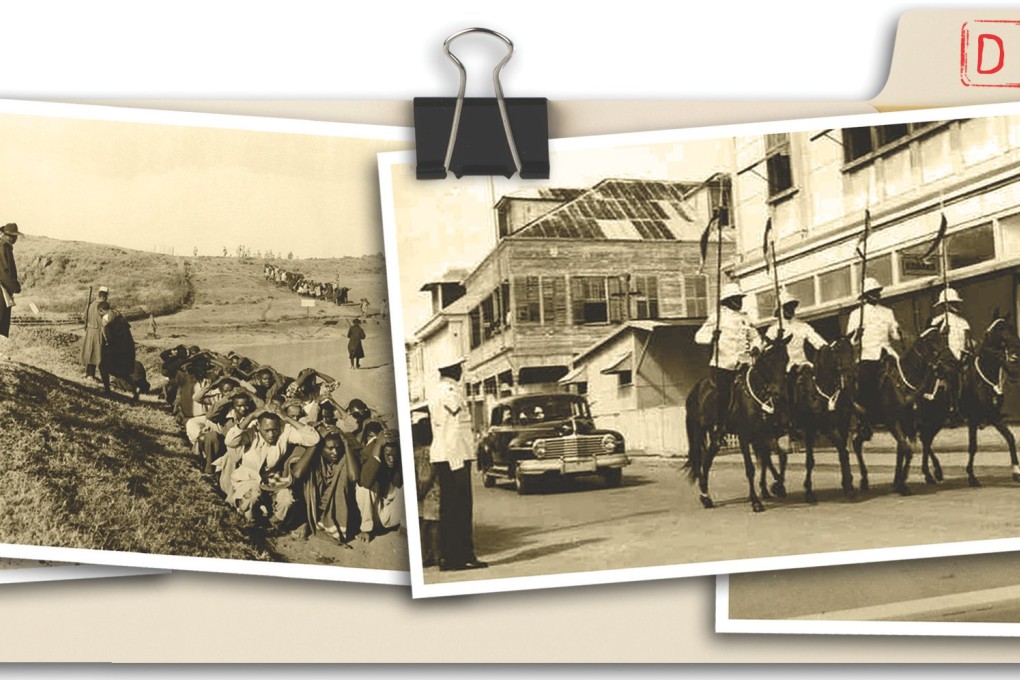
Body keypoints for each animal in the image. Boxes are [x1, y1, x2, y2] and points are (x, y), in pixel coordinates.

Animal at [685, 332, 795, 513]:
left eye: (786, 358)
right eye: (768, 360)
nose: (779, 393)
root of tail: (697, 387)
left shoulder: (768, 434)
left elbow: (777, 457)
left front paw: (776, 486)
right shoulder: (745, 437)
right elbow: (751, 468)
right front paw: (756, 501)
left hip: (716, 435)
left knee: (707, 460)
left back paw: (706, 497)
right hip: (699, 430)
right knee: (703, 460)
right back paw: (705, 497)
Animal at [787, 336, 860, 503]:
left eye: (851, 350)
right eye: (837, 352)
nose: (851, 378)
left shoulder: (843, 425)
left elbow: (843, 452)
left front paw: (848, 484)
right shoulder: (819, 428)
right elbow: (811, 460)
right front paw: (809, 491)